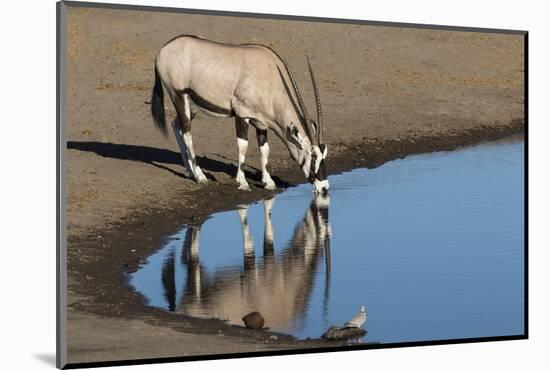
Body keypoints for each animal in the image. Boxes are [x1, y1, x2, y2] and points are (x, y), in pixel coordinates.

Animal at [151, 35, 330, 194]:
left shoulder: (261, 122)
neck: (269, 74)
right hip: (179, 96)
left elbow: (265, 149)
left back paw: (190, 171)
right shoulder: (242, 114)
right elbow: (243, 146)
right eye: (313, 156)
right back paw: (200, 176)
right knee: (187, 134)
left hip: (192, 105)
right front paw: (243, 182)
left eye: (324, 155)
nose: (324, 187)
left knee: (177, 125)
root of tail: (163, 50)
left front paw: (268, 182)